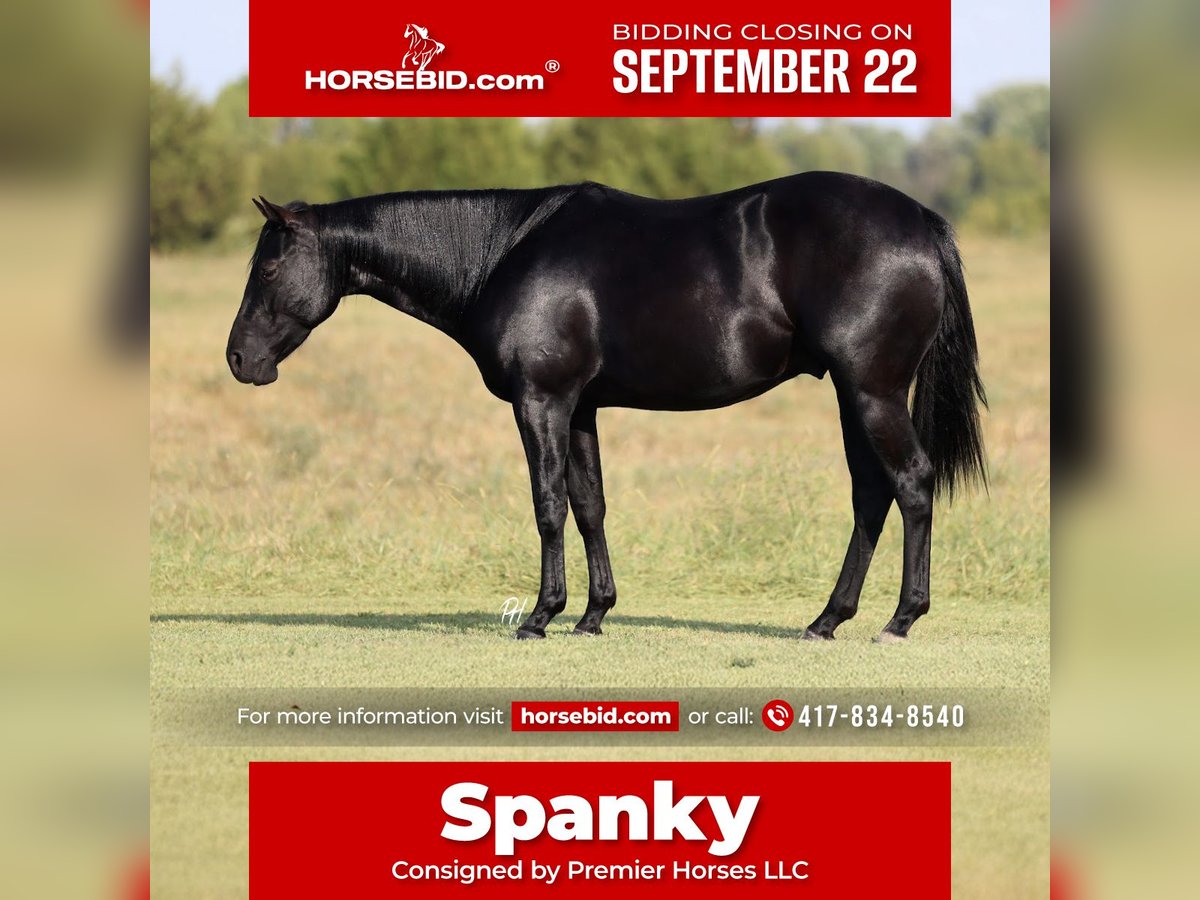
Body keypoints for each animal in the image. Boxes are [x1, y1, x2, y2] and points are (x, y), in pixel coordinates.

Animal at [227, 174, 987, 642]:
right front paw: (594, 615)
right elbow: (590, 506)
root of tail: (922, 222)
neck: (503, 252)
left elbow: (548, 505)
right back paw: (828, 619)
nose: (239, 360)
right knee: (871, 495)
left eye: (268, 267)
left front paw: (541, 615)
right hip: (853, 394)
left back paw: (900, 619)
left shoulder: (540, 402)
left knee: (912, 484)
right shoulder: (582, 408)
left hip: (871, 391)